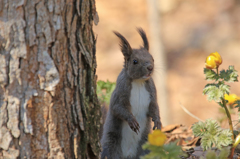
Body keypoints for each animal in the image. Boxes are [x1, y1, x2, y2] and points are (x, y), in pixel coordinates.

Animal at [100, 28, 162, 158]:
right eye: (135, 61)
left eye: (152, 58)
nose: (150, 67)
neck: (138, 82)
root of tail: (128, 155)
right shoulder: (119, 94)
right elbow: (118, 108)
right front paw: (132, 120)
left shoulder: (152, 94)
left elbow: (154, 107)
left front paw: (158, 121)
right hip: (111, 144)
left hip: (145, 146)